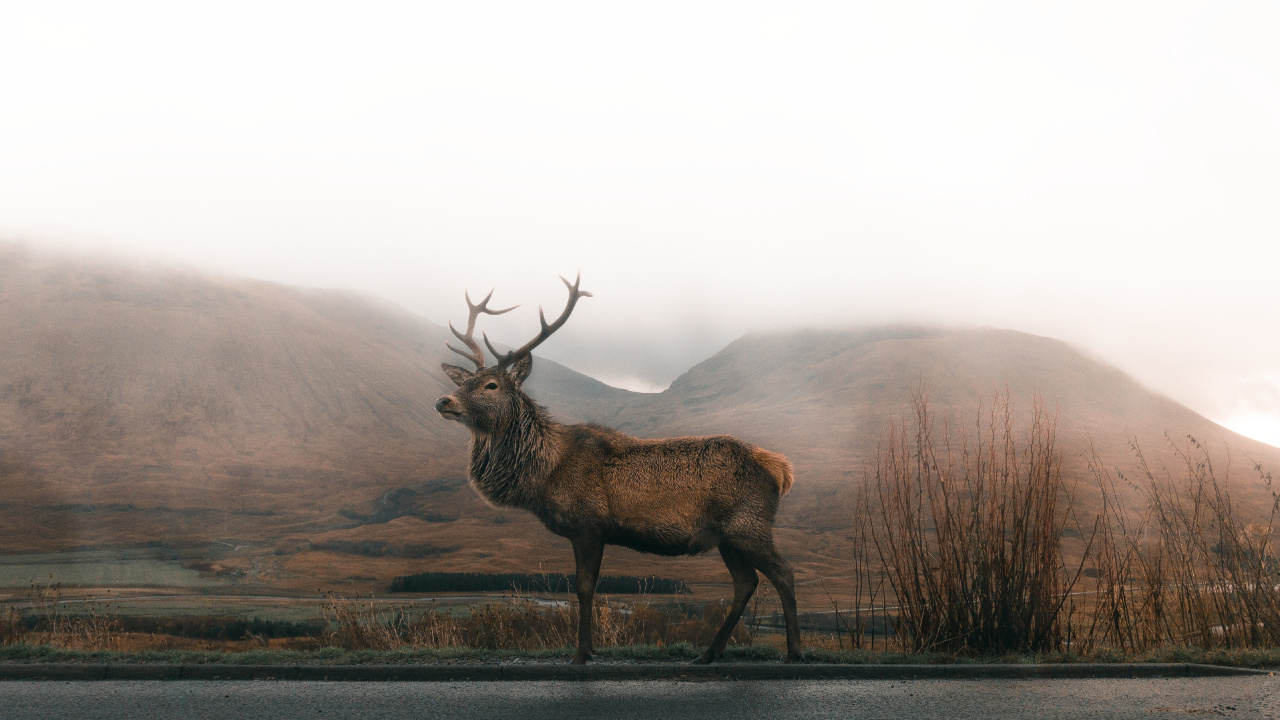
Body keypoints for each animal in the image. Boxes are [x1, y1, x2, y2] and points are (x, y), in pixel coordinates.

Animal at [434, 274, 802, 664]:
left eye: (491, 385)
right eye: (462, 382)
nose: (444, 401)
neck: (543, 474)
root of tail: (780, 469)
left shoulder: (590, 524)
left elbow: (584, 589)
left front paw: (581, 653)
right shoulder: (584, 531)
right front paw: (589, 648)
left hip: (749, 524)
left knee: (784, 572)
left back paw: (793, 651)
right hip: (726, 536)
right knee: (746, 582)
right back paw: (708, 653)